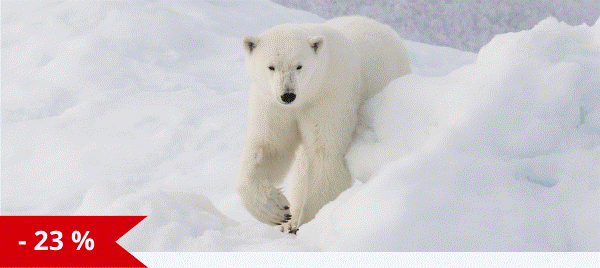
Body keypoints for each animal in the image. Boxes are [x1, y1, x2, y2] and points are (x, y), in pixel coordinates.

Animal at [237, 15, 410, 233]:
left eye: (299, 66)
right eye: (271, 66)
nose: (288, 95)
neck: (307, 94)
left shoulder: (330, 95)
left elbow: (326, 153)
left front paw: (308, 223)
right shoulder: (272, 104)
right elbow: (271, 148)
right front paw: (277, 211)